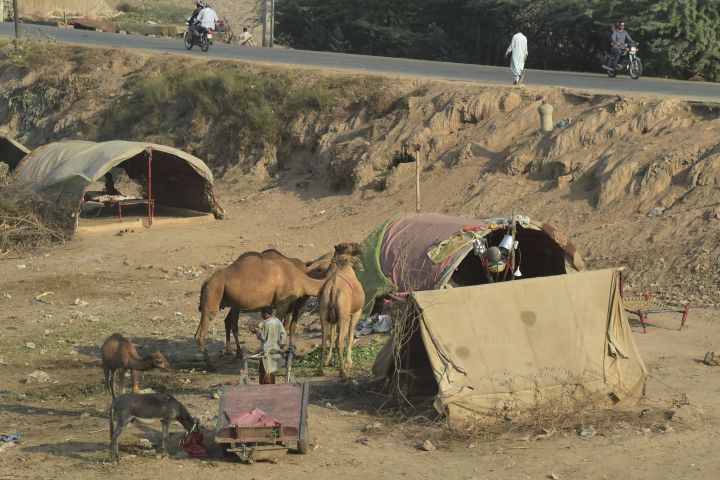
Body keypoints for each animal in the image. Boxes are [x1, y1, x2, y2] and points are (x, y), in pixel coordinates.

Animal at [198, 251, 330, 372]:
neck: (300, 278)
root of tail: (207, 280)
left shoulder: (291, 304)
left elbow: (288, 326)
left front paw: (288, 354)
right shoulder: (283, 303)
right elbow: (281, 326)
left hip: (231, 301)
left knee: (229, 322)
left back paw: (234, 354)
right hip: (214, 291)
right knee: (205, 328)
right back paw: (212, 366)